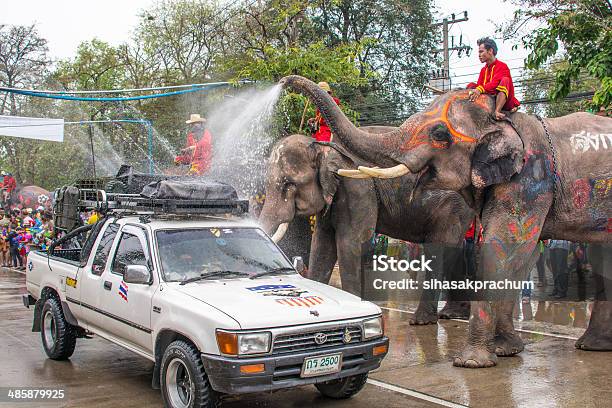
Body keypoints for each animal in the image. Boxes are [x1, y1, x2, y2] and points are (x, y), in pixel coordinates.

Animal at [256, 129, 474, 324]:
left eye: (289, 184)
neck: (325, 146)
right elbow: (322, 244)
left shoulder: (357, 187)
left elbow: (349, 242)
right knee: (457, 248)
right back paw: (452, 314)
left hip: (451, 209)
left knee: (438, 250)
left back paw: (421, 321)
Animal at [280, 75, 612, 368]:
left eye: (439, 134)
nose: (284, 81)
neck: (505, 121)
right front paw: (504, 351)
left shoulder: (531, 180)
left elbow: (506, 247)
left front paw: (471, 363)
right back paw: (591, 346)